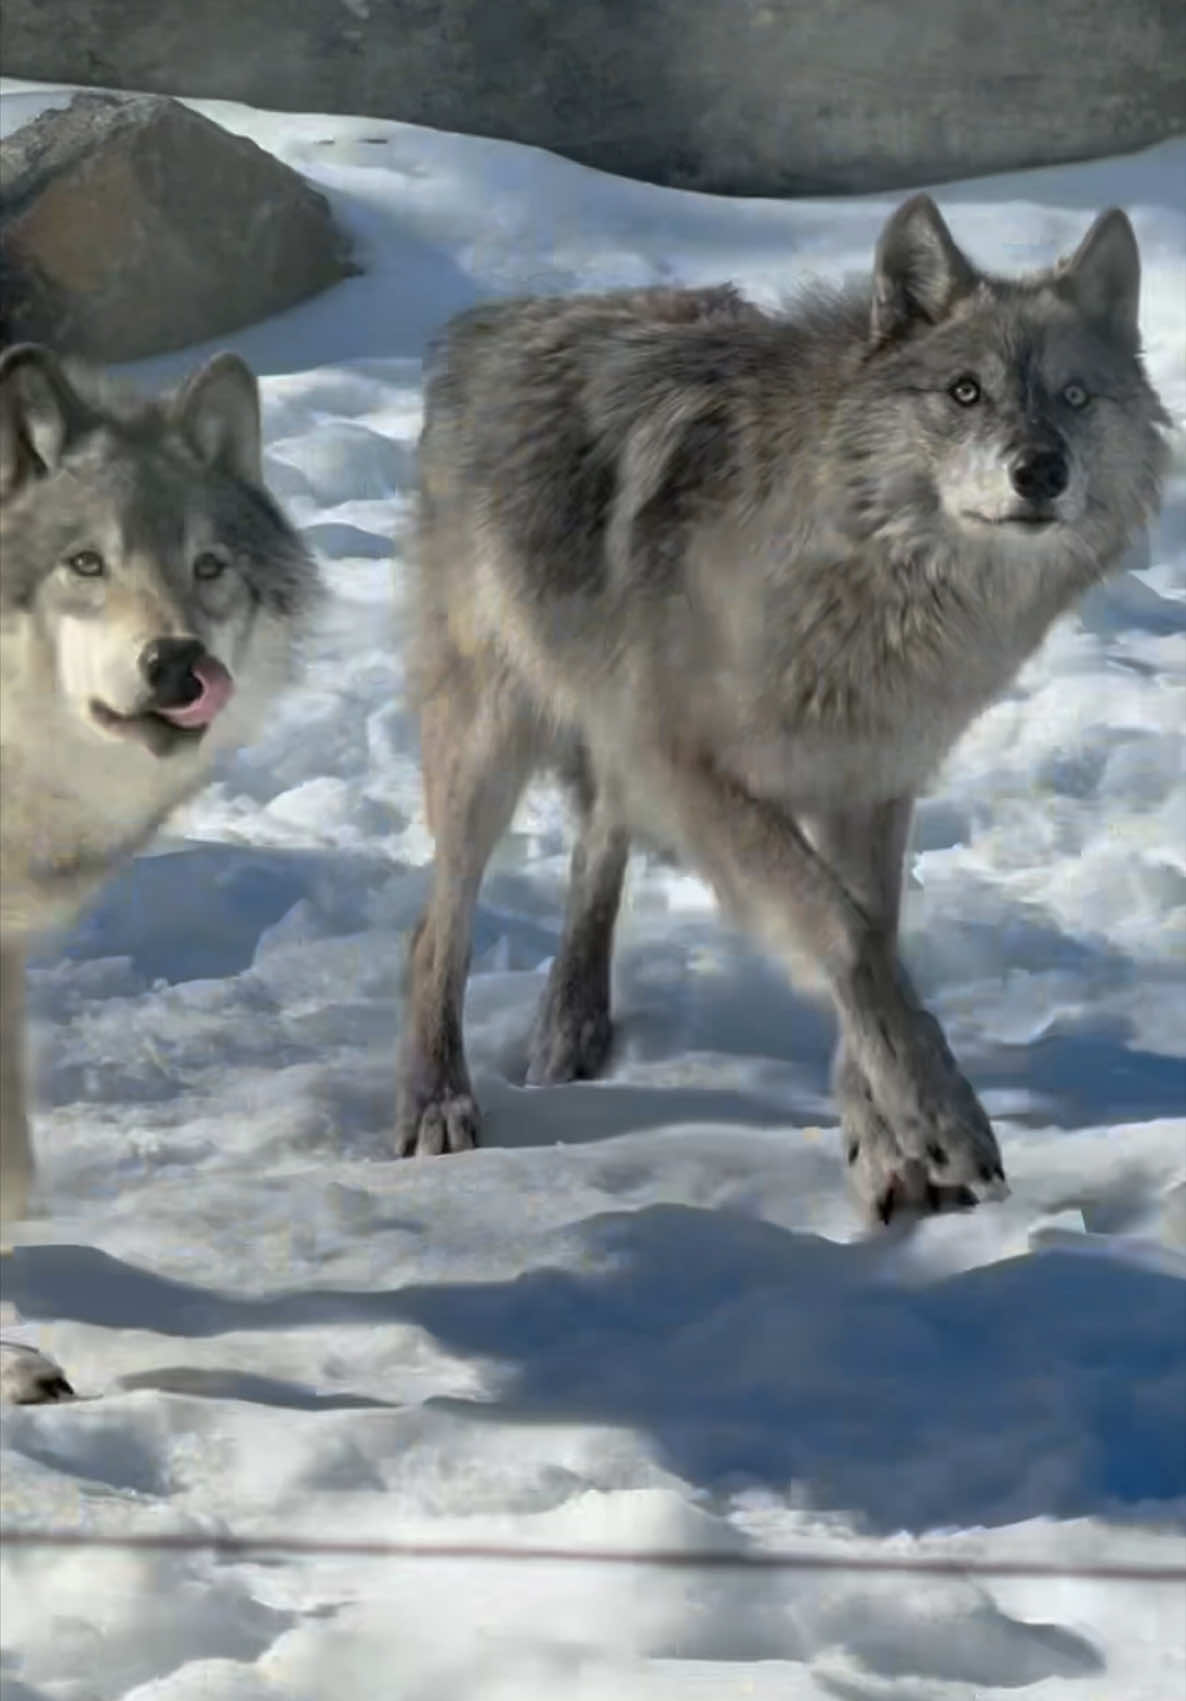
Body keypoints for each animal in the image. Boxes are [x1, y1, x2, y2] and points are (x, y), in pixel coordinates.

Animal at [397, 196, 1169, 1225]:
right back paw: (436, 1102)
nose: (1040, 469)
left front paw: (890, 1152)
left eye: (1076, 396)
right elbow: (843, 935)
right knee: (437, 926)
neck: (869, 588)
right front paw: (944, 1121)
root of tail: (496, 318)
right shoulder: (692, 769)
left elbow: (873, 945)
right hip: (490, 738)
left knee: (596, 845)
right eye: (964, 392)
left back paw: (572, 1029)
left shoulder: (866, 788)